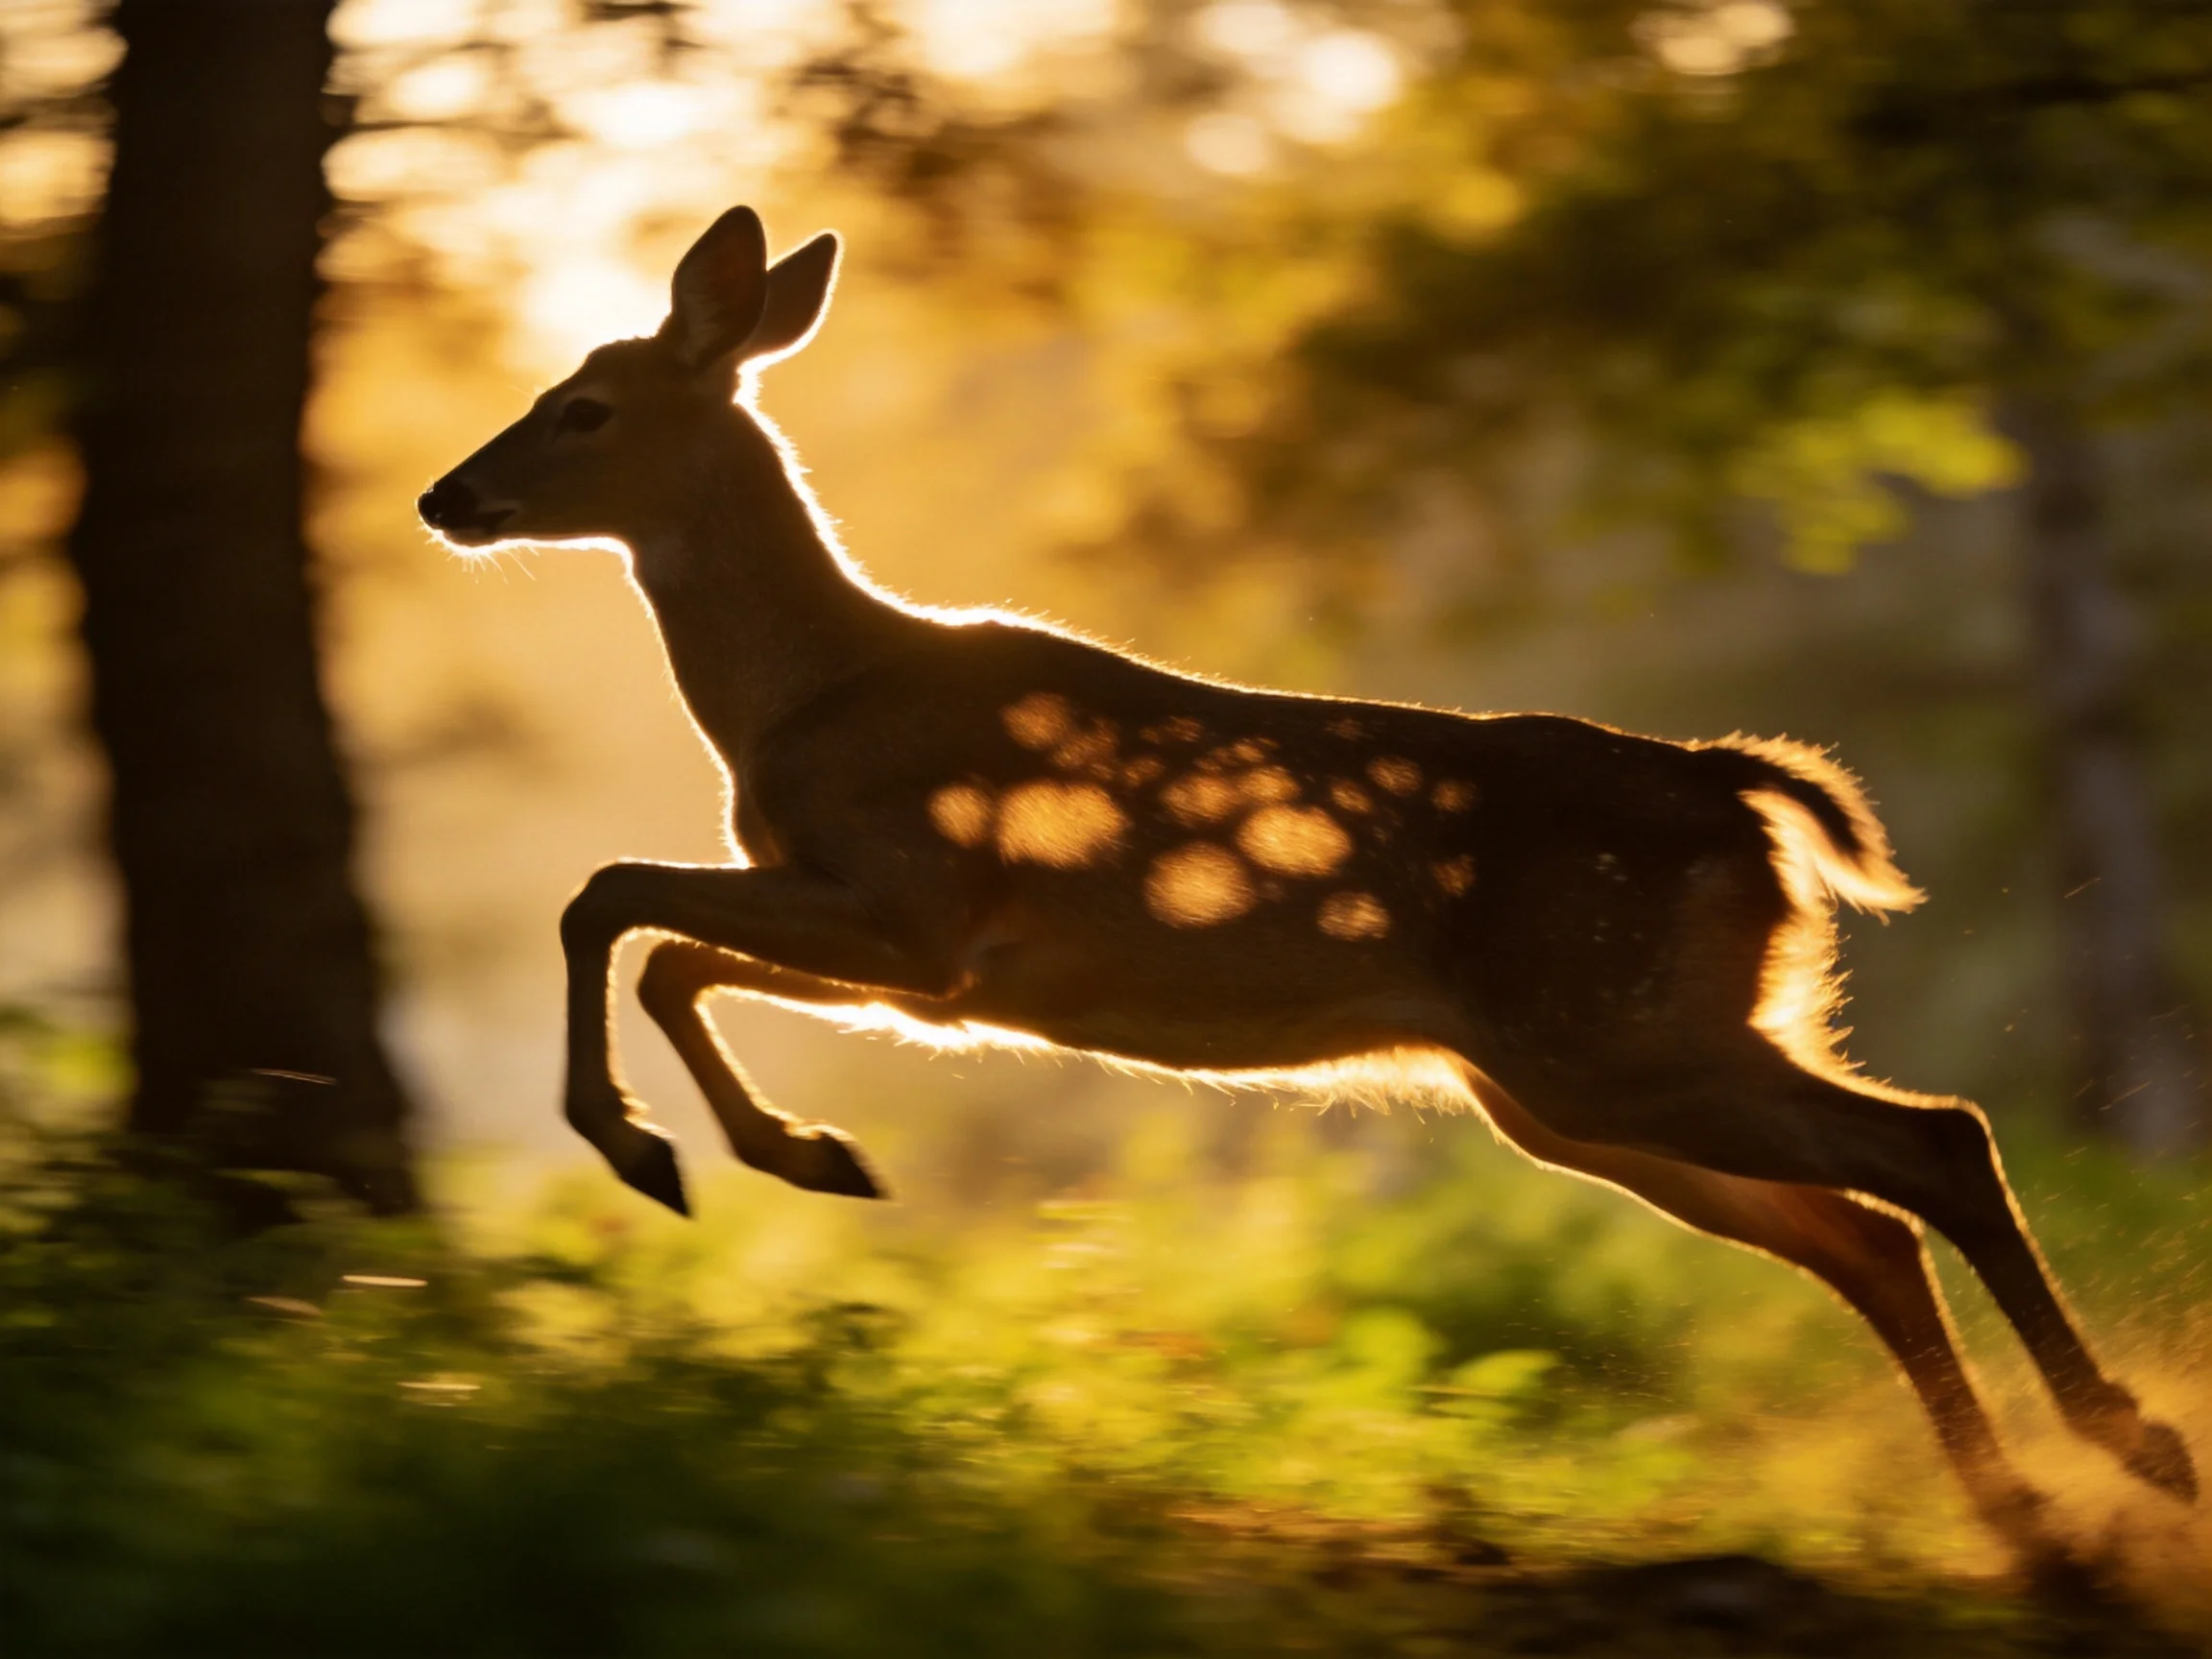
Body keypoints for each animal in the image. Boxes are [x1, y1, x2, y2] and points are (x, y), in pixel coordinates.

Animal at [420, 204, 2194, 1569]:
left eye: (583, 405)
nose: (448, 494)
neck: (810, 693)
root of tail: (1741, 794)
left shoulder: (916, 907)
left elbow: (606, 893)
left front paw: (644, 1140)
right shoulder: (926, 965)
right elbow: (662, 945)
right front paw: (790, 1148)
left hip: (1614, 1031)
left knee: (1934, 1143)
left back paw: (2131, 1444)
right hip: (1574, 1083)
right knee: (1864, 1231)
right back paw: (2024, 1509)